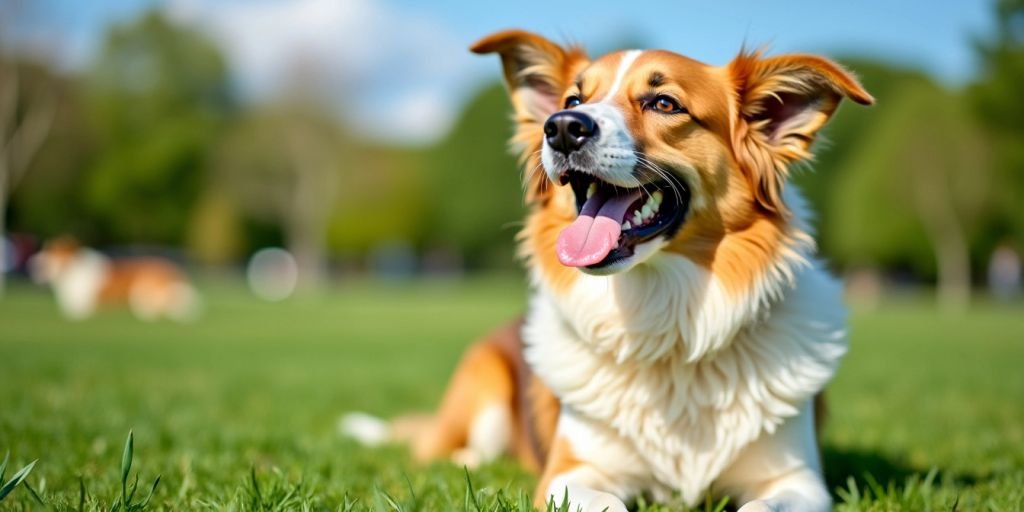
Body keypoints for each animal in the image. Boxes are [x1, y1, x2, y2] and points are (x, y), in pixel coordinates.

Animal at [339, 29, 868, 509]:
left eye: (664, 103)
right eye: (574, 98)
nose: (561, 127)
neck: (667, 332)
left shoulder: (797, 480)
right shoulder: (570, 473)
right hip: (483, 391)